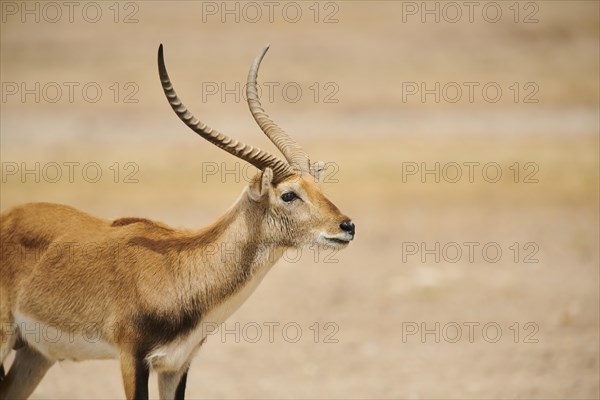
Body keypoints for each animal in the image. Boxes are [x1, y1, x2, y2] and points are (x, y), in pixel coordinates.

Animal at [0, 45, 354, 398]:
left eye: (318, 187)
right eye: (289, 194)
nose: (347, 227)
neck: (179, 268)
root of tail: (10, 216)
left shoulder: (177, 364)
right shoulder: (132, 359)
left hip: (36, 354)